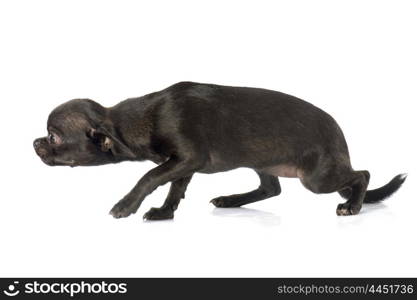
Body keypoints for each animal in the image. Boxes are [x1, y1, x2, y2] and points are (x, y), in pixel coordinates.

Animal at [34, 82, 404, 220]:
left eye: (53, 137)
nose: (34, 142)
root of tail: (339, 134)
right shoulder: (182, 165)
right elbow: (173, 188)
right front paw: (165, 213)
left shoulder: (186, 159)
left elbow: (149, 176)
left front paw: (126, 205)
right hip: (268, 164)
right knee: (271, 188)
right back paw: (230, 200)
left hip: (316, 178)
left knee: (363, 175)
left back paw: (352, 206)